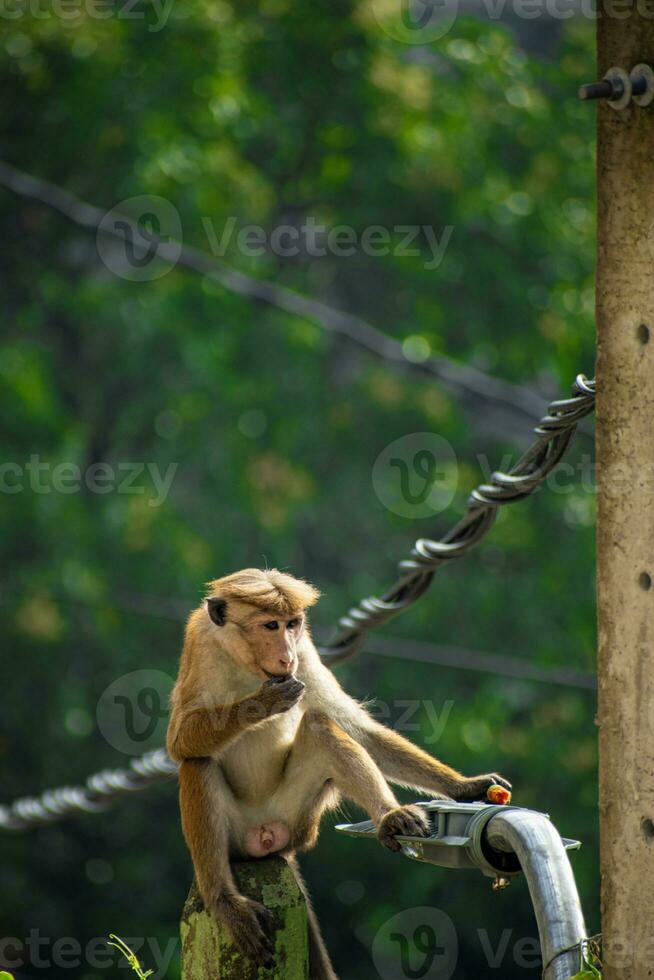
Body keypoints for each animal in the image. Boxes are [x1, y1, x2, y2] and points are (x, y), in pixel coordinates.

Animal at [168, 572, 512, 976]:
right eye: (270, 625)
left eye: (292, 624)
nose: (287, 654)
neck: (247, 664)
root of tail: (266, 836)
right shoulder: (201, 644)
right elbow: (179, 741)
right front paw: (262, 703)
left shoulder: (306, 651)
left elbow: (354, 728)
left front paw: (464, 786)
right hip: (238, 833)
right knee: (198, 762)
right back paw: (225, 900)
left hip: (300, 818)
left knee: (320, 726)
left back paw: (391, 817)